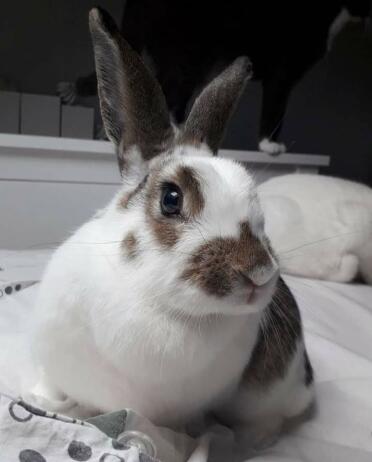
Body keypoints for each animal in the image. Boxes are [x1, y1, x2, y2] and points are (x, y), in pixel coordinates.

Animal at [26, 7, 314, 448]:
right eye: (171, 199)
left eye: (259, 209)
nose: (260, 273)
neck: (154, 300)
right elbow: (53, 388)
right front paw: (43, 400)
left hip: (268, 395)